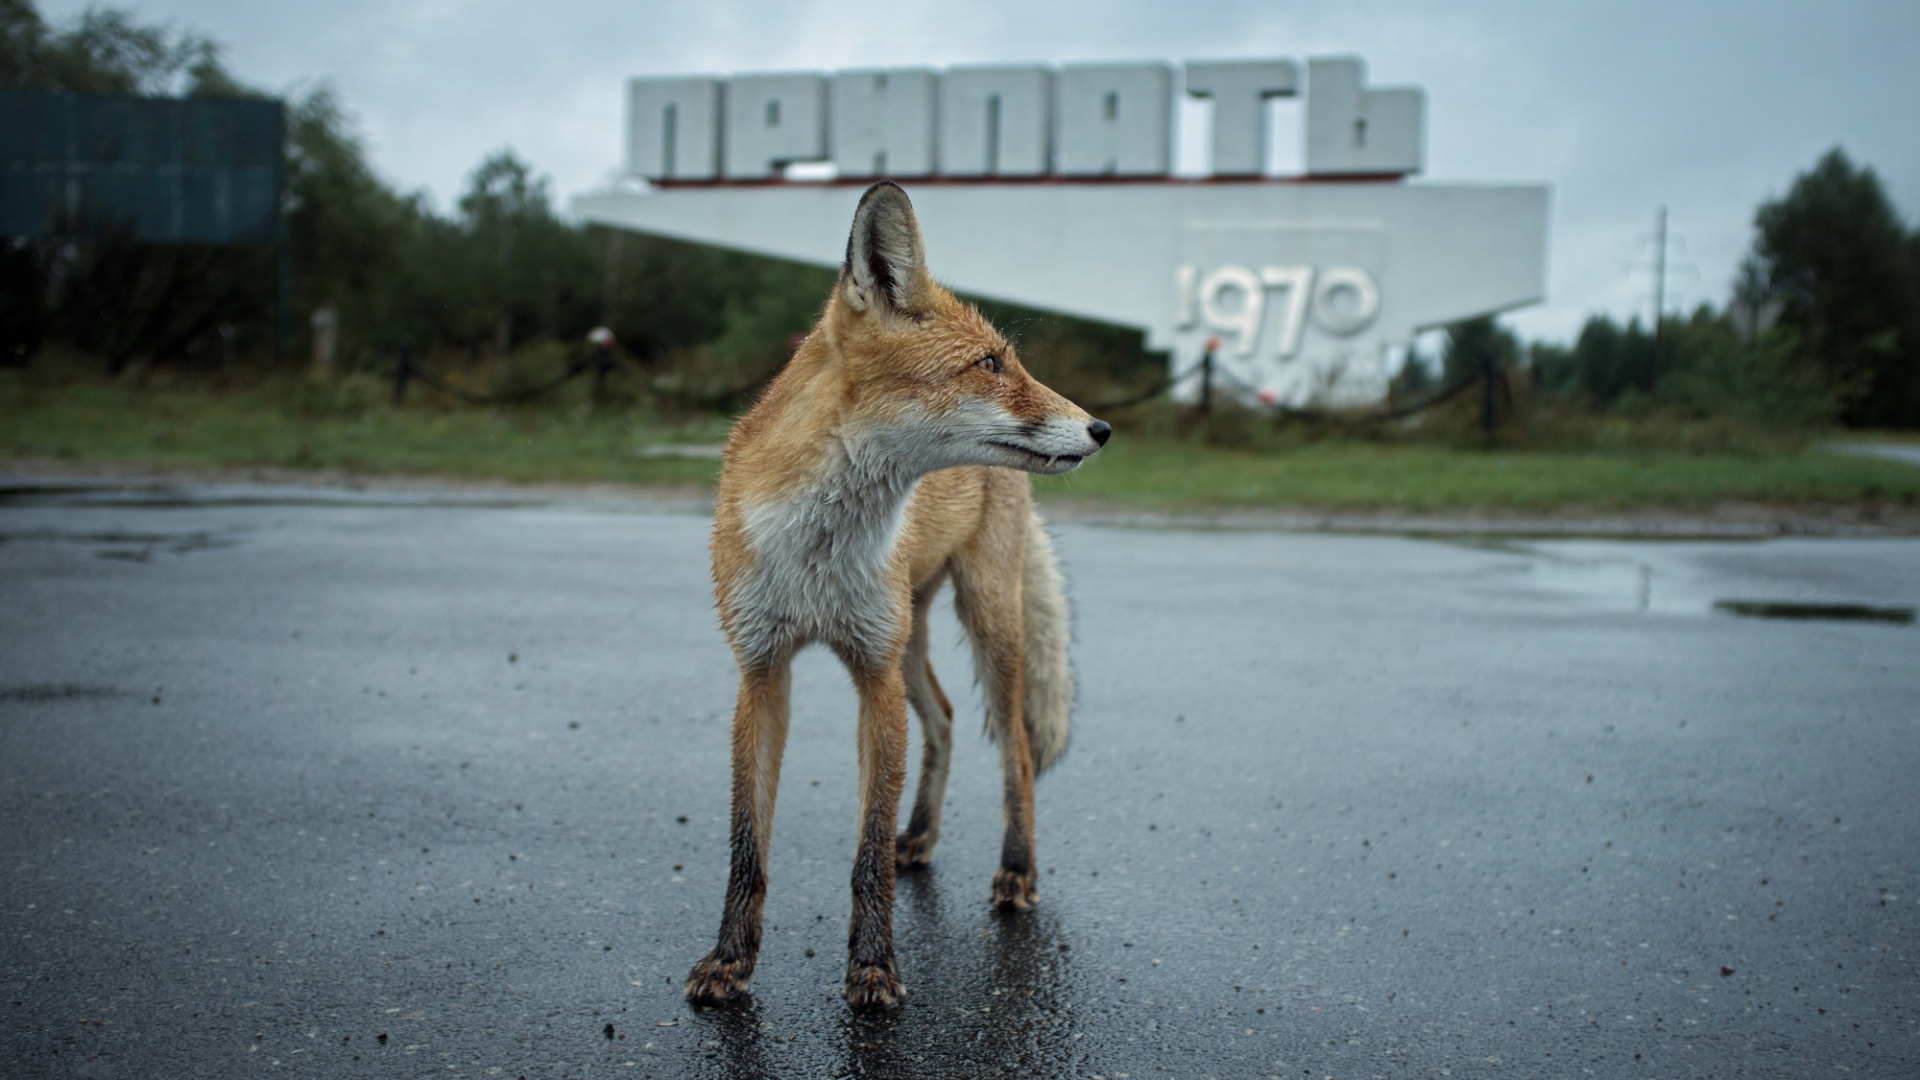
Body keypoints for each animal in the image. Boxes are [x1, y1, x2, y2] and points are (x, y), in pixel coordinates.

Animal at [684, 182, 1110, 1009]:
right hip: (910, 636)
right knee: (943, 719)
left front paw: (874, 968)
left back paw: (1016, 870)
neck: (819, 548)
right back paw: (925, 834)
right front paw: (730, 960)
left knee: (1014, 748)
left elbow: (867, 850)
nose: (1101, 428)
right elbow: (748, 843)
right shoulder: (762, 668)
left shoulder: (872, 675)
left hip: (984, 619)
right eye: (988, 363)